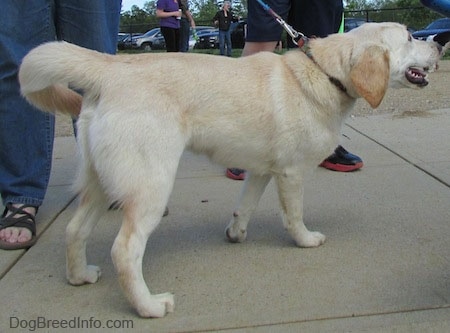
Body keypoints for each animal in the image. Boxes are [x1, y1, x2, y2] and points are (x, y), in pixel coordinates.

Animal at [18, 22, 450, 316]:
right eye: (409, 37)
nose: (438, 42)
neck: (325, 72)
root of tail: (111, 69)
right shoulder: (291, 173)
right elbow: (294, 216)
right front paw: (305, 240)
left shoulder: (261, 169)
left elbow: (245, 205)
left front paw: (236, 233)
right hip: (150, 186)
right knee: (125, 251)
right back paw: (149, 306)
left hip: (98, 182)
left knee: (75, 229)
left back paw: (79, 276)